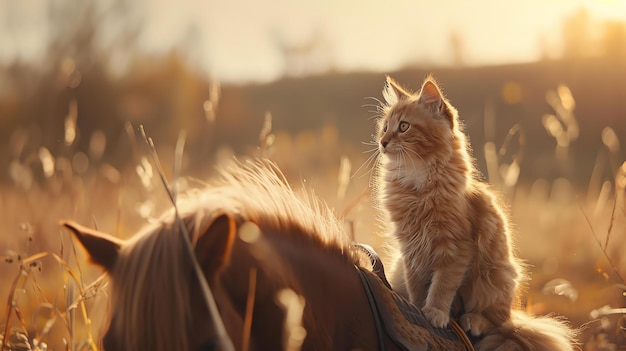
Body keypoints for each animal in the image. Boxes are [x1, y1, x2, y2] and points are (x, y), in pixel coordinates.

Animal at [372, 75, 572, 350]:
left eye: (403, 127)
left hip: (495, 277)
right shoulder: (410, 250)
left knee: (499, 322)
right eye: (384, 127)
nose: (382, 142)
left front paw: (435, 312)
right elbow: (417, 287)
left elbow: (441, 286)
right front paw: (415, 309)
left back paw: (472, 320)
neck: (417, 183)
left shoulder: (455, 248)